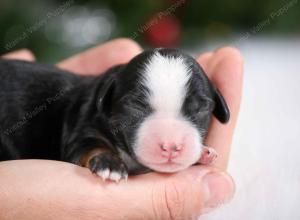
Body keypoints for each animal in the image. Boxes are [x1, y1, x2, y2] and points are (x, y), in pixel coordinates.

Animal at [0, 49, 230, 181]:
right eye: (136, 105)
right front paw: (109, 163)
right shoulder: (82, 132)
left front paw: (203, 153)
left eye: (201, 107)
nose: (171, 146)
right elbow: (92, 146)